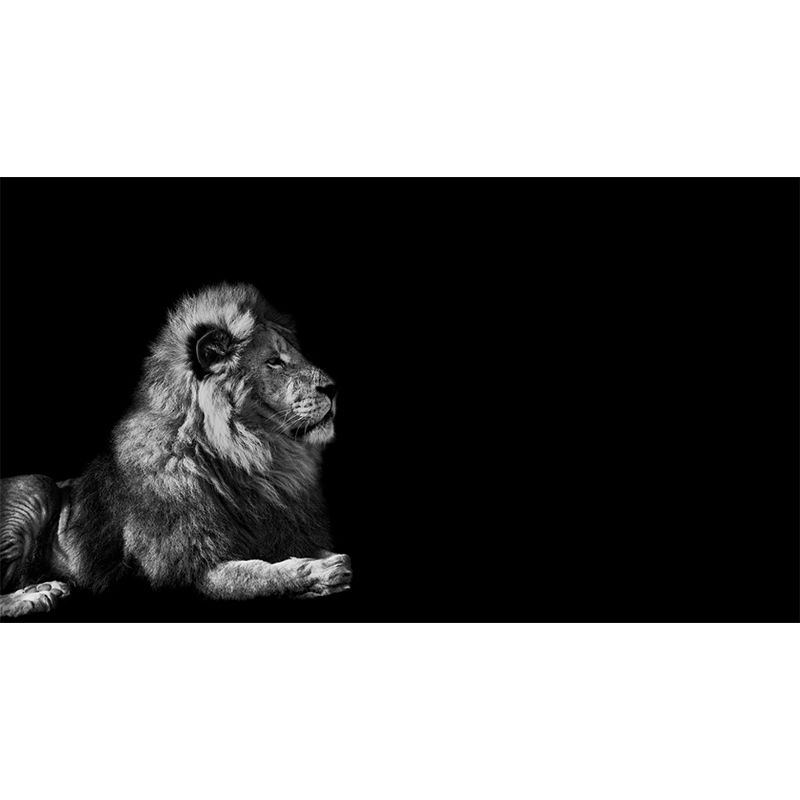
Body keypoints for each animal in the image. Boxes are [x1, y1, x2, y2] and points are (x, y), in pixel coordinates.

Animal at [0, 283, 351, 618]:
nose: (333, 388)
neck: (252, 461)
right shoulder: (190, 568)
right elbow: (260, 575)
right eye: (274, 361)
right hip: (37, 485)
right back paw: (34, 596)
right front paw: (320, 571)